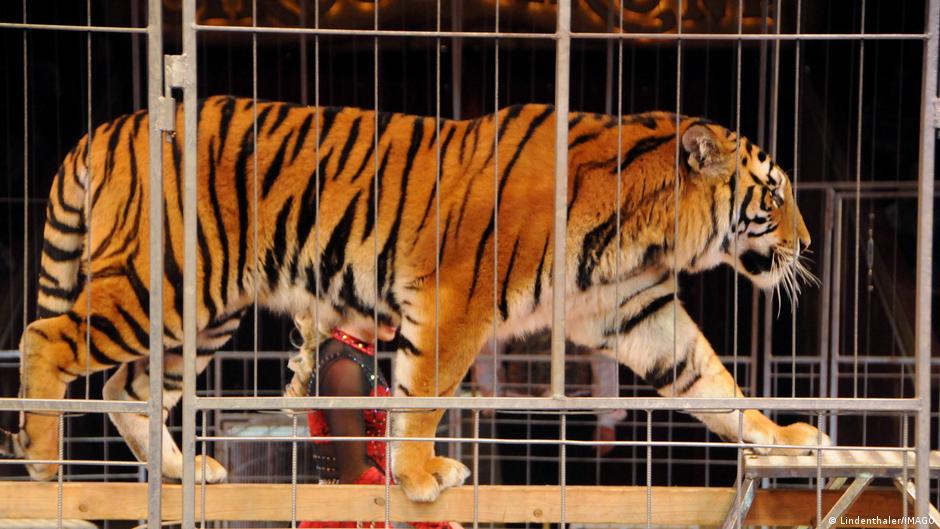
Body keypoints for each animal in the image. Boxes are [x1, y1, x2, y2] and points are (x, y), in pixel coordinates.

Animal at [1, 95, 829, 501]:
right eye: (774, 196)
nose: (809, 243)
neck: (650, 230)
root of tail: (112, 125)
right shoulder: (459, 297)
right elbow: (424, 392)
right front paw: (423, 474)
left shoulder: (638, 310)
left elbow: (712, 382)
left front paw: (785, 438)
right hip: (165, 282)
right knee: (48, 338)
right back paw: (42, 461)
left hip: (202, 315)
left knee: (125, 384)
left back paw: (182, 472)